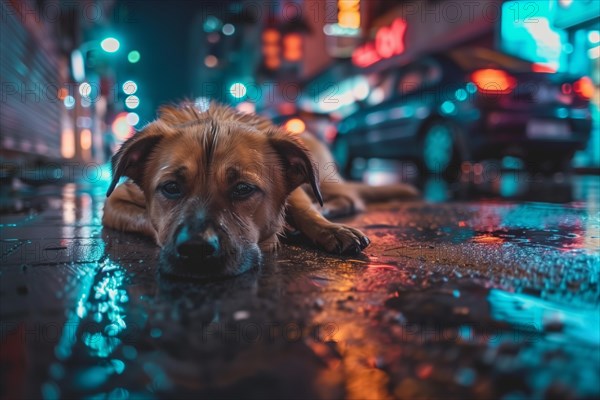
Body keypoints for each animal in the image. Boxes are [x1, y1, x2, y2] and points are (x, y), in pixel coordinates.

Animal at [102, 102, 418, 278]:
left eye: (243, 188)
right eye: (170, 188)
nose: (196, 250)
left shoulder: (295, 188)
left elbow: (303, 208)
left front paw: (328, 229)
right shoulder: (113, 204)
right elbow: (147, 220)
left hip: (322, 175)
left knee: (348, 197)